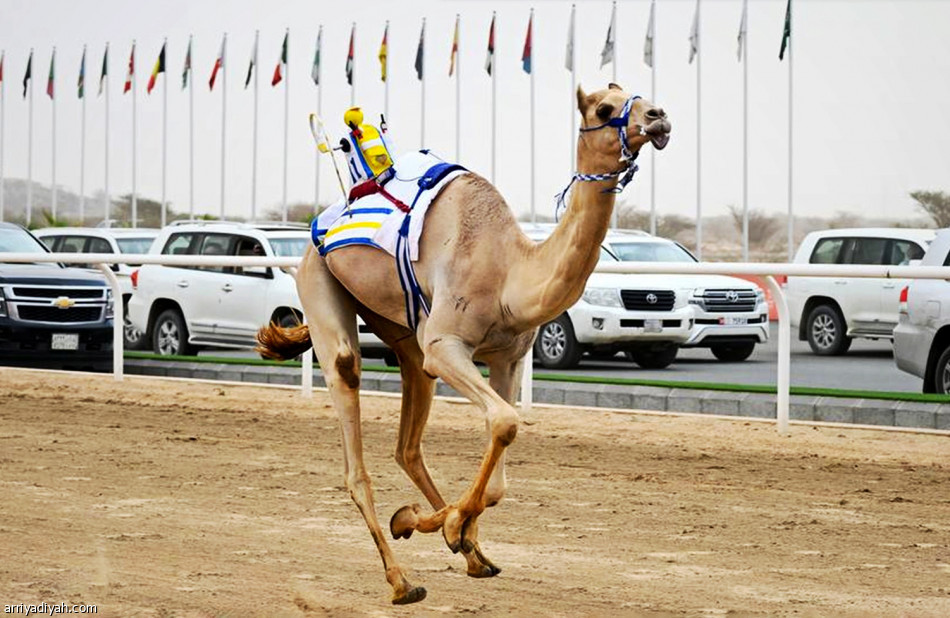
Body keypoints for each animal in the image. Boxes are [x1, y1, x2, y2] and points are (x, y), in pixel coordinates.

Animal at [256, 83, 672, 600]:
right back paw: (401, 580)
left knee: (407, 446)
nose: (658, 117)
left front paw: (442, 526)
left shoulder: (508, 356)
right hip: (321, 283)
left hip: (404, 335)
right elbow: (504, 421)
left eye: (641, 94)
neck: (510, 271)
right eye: (604, 108)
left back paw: (465, 550)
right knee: (351, 411)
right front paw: (447, 524)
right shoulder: (447, 345)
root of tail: (321, 224)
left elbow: (501, 462)